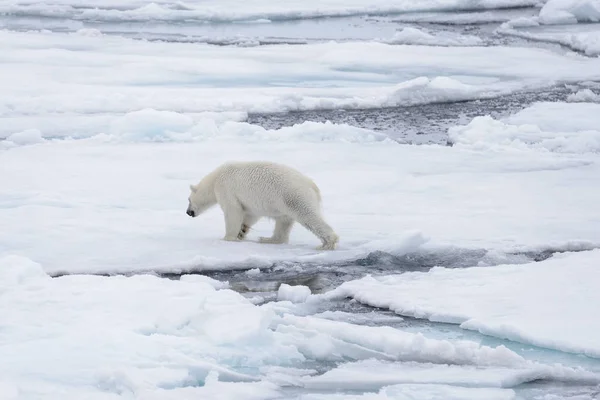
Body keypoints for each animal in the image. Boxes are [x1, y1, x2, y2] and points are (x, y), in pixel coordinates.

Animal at [185, 160, 340, 250]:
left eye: (188, 200)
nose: (188, 212)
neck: (215, 179)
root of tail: (312, 185)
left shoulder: (226, 189)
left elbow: (233, 212)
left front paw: (227, 238)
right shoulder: (250, 203)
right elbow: (251, 214)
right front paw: (242, 231)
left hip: (293, 196)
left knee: (308, 216)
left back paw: (327, 243)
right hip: (284, 202)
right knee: (283, 222)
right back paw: (268, 239)